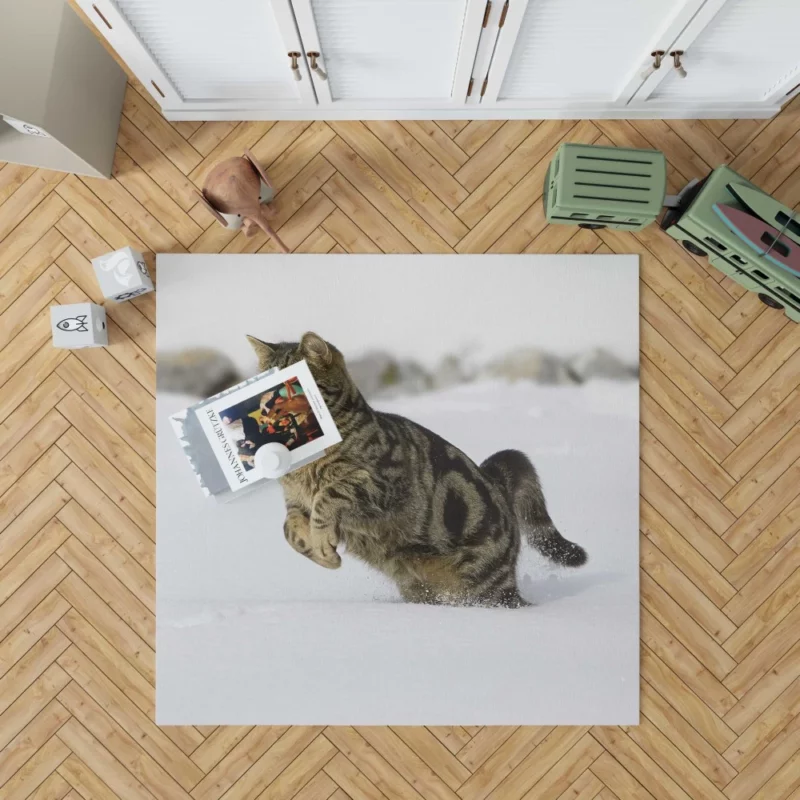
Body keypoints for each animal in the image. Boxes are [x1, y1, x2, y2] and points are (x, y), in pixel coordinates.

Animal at [250, 332, 588, 608]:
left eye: (291, 388)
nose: (266, 413)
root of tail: (499, 486)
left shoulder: (380, 483)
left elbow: (327, 496)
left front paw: (323, 543)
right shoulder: (295, 502)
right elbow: (289, 529)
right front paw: (323, 555)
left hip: (485, 588)